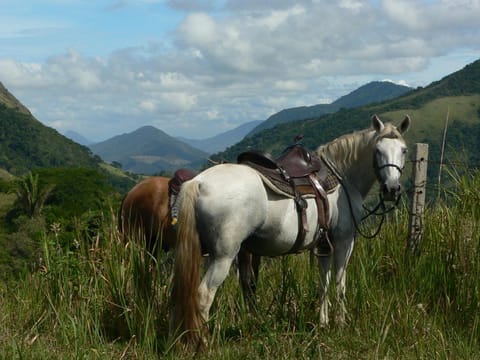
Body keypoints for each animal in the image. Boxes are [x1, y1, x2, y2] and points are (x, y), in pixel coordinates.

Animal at [171, 114, 410, 344]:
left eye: (404, 150)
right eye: (377, 150)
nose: (391, 189)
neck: (342, 178)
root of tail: (198, 182)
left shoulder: (324, 245)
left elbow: (323, 282)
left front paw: (323, 323)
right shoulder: (344, 240)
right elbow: (340, 282)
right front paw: (340, 324)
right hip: (223, 256)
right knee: (203, 295)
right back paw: (203, 343)